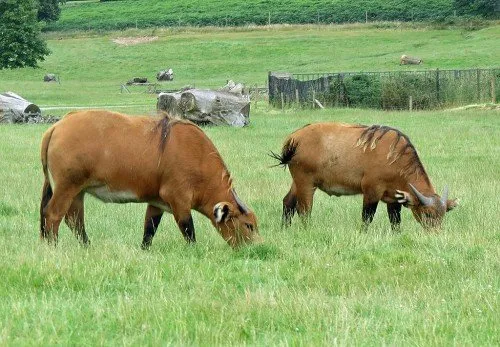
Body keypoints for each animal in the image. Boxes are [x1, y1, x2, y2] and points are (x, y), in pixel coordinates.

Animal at [40, 110, 260, 249]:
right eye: (248, 225)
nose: (259, 247)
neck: (196, 154)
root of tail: (57, 126)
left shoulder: (156, 203)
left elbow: (149, 230)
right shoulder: (178, 200)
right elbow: (188, 230)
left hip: (78, 191)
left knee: (74, 220)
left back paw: (87, 246)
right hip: (67, 187)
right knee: (53, 214)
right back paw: (53, 247)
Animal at [272, 122, 458, 231]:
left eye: (443, 214)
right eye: (428, 214)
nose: (436, 233)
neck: (394, 156)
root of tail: (294, 138)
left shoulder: (393, 199)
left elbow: (395, 222)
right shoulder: (371, 192)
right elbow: (367, 217)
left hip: (297, 182)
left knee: (288, 202)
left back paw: (284, 229)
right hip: (306, 183)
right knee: (304, 210)